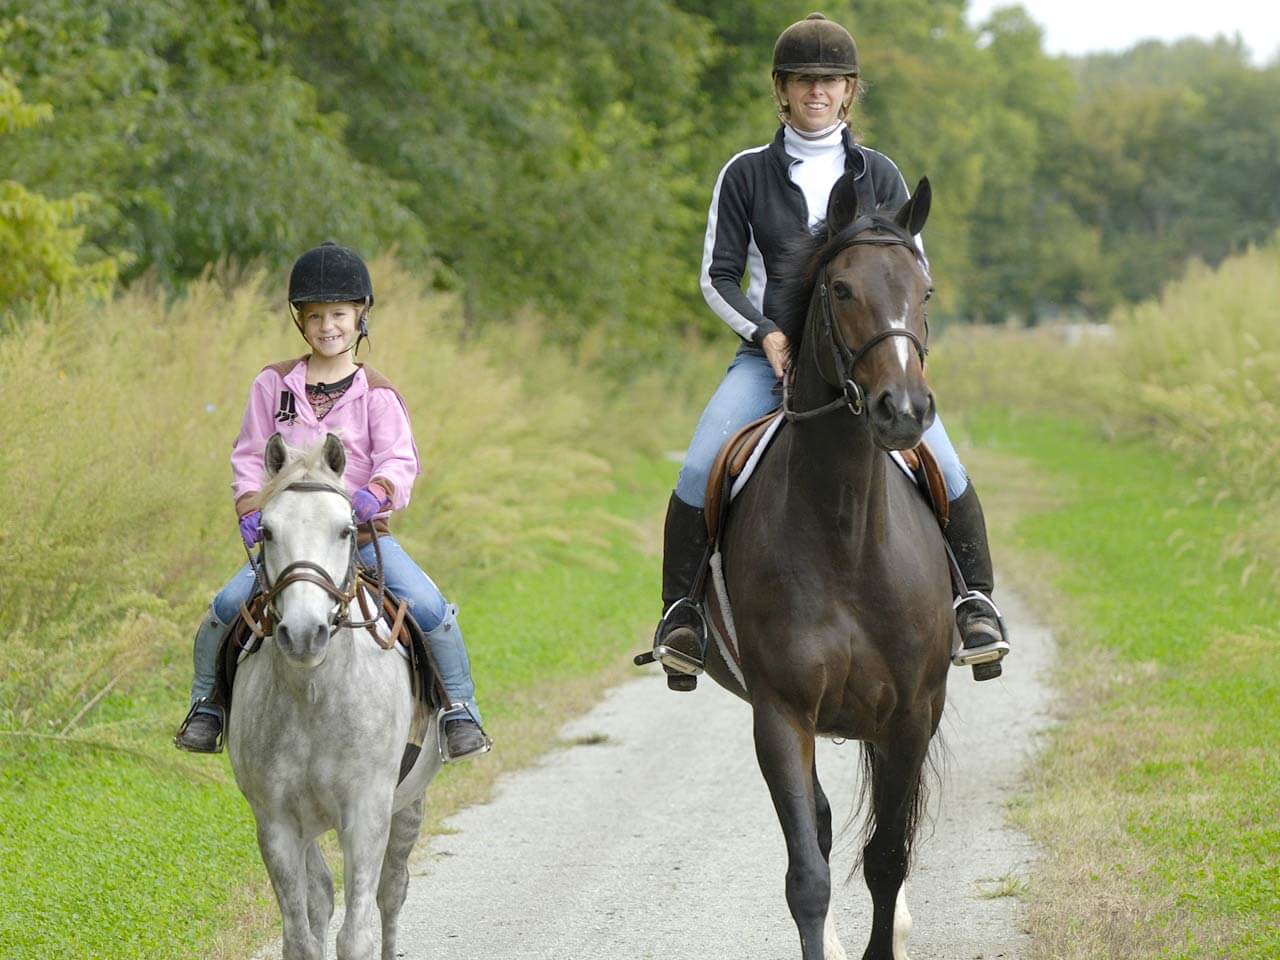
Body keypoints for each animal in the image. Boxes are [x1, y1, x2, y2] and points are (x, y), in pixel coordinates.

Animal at [230, 435, 445, 960]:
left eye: (347, 529)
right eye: (265, 530)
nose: (304, 634)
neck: (313, 695)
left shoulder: (366, 814)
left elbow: (356, 935)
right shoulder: (277, 823)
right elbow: (300, 936)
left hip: (408, 805)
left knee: (392, 893)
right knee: (322, 899)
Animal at [701, 175, 952, 960]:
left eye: (924, 290)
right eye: (841, 289)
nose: (904, 410)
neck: (844, 534)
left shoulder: (910, 714)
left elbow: (887, 857)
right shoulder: (781, 715)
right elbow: (808, 873)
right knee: (819, 822)